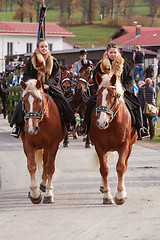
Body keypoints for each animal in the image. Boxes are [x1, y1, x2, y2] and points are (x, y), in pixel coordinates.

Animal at [89, 73, 138, 204]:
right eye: (97, 95)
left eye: (113, 95)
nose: (101, 123)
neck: (112, 124)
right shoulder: (99, 147)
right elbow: (104, 169)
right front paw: (107, 196)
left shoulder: (124, 145)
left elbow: (121, 167)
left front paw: (120, 195)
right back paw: (103, 187)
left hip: (130, 147)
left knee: (125, 165)